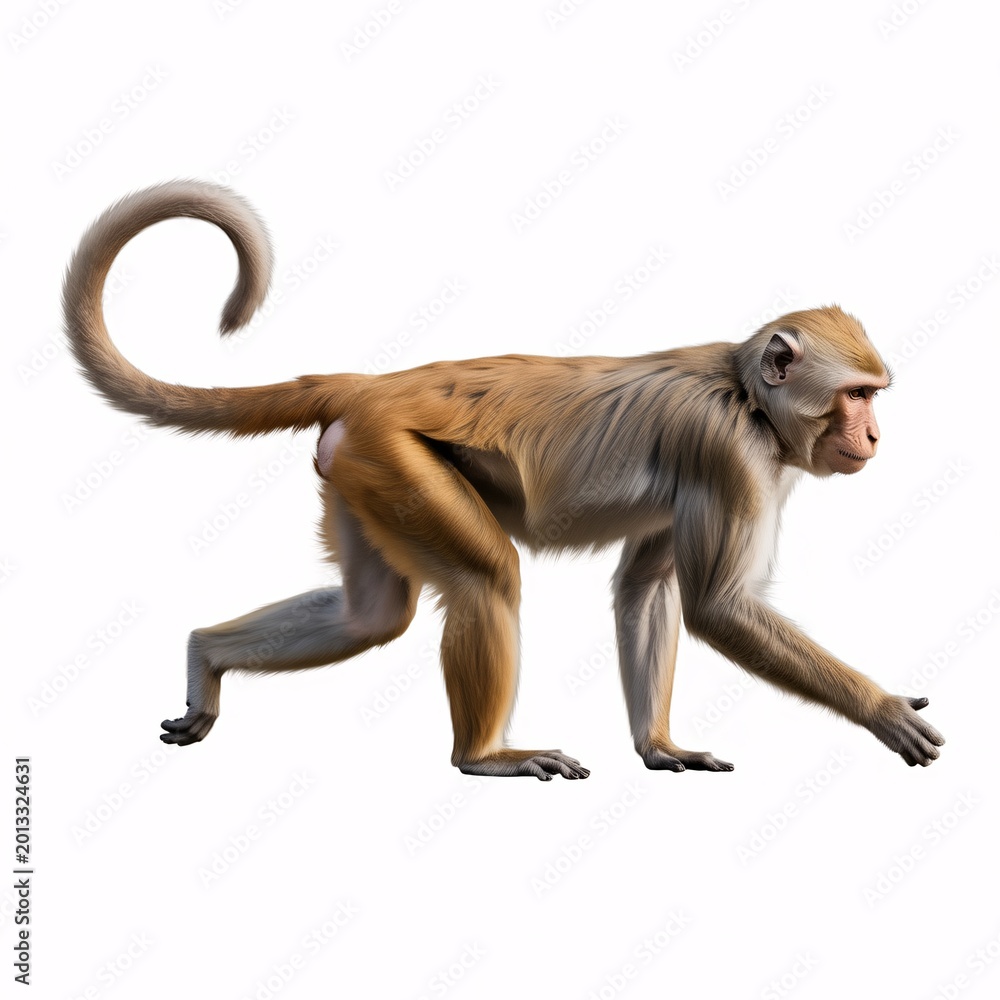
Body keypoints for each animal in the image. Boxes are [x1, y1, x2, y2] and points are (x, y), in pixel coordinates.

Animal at [62, 179, 944, 780]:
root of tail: (376, 387)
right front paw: (878, 708)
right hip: (395, 457)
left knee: (370, 614)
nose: (874, 433)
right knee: (487, 578)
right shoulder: (730, 454)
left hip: (355, 467)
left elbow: (646, 590)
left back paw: (206, 656)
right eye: (857, 396)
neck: (748, 398)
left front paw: (658, 746)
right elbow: (718, 607)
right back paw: (483, 755)